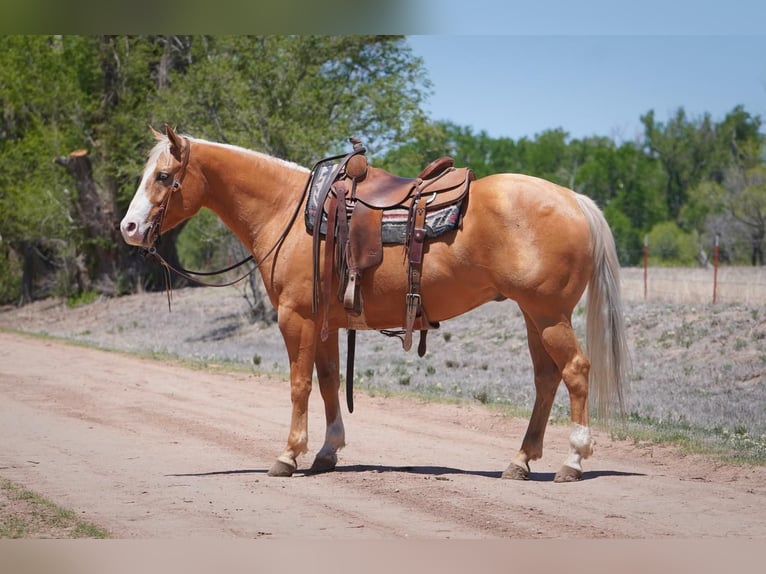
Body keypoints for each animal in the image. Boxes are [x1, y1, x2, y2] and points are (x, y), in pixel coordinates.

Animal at [121, 125, 632, 482]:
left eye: (164, 176)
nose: (128, 228)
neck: (289, 211)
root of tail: (574, 199)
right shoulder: (323, 321)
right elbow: (329, 383)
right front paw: (327, 452)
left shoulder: (295, 318)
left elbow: (299, 386)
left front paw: (288, 455)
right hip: (533, 315)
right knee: (547, 379)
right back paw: (521, 461)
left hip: (548, 315)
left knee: (576, 371)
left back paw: (573, 460)